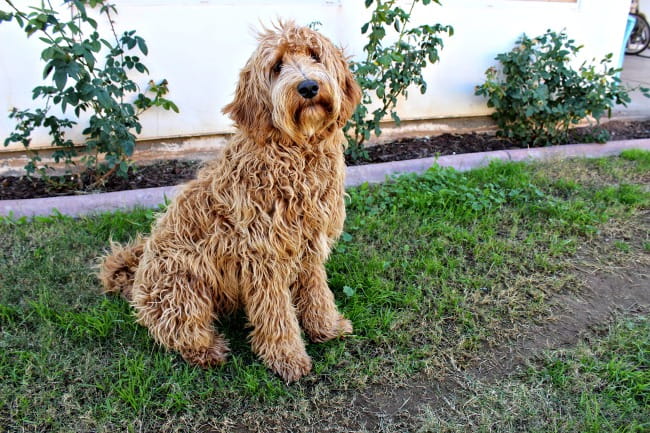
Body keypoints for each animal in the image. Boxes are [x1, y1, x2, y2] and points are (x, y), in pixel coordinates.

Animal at [102, 22, 364, 382]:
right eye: (277, 66)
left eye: (314, 55)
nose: (309, 86)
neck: (294, 152)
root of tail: (137, 277)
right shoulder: (264, 257)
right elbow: (276, 314)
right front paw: (287, 358)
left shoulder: (310, 245)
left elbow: (317, 292)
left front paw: (327, 327)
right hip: (183, 285)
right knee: (175, 329)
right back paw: (208, 350)